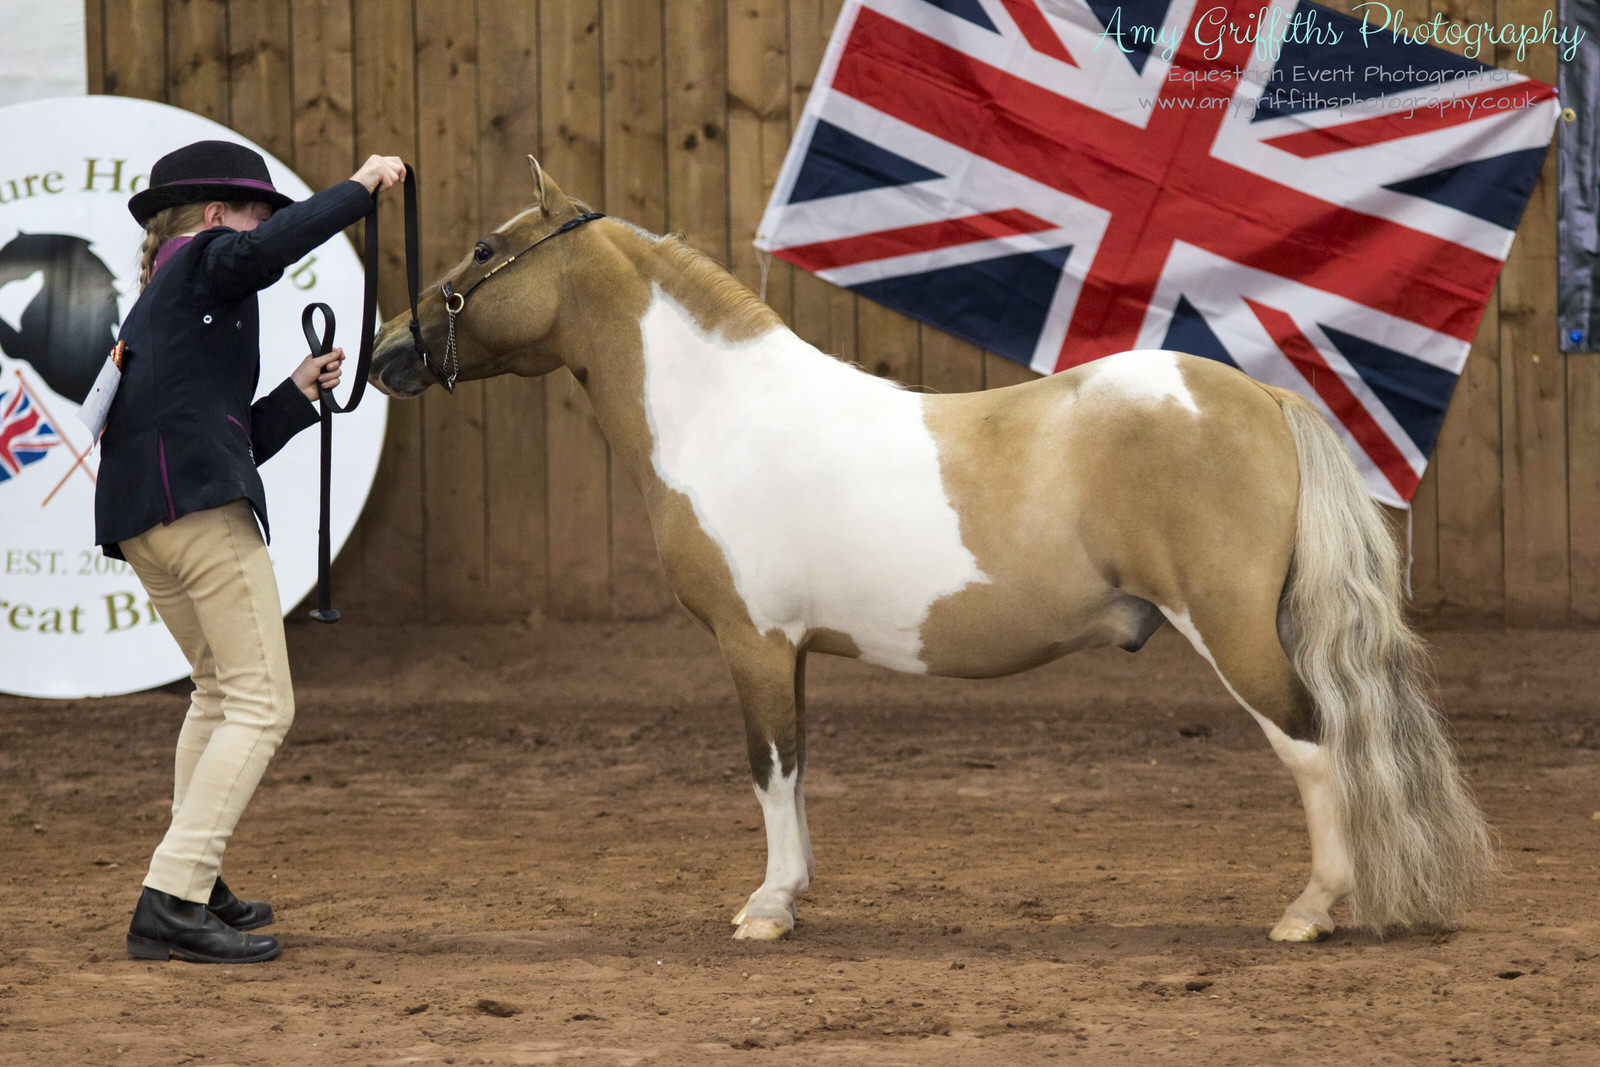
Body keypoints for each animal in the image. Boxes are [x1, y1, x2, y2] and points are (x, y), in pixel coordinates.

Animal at [368, 158, 1491, 940]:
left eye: (481, 250)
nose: (385, 351)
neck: (725, 413)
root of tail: (1255, 393)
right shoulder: (788, 649)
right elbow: (797, 768)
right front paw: (794, 894)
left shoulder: (752, 641)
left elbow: (767, 767)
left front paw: (765, 907)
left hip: (1232, 631)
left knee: (1311, 743)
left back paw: (1309, 909)